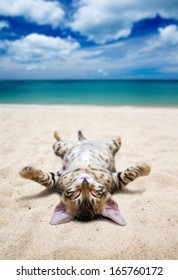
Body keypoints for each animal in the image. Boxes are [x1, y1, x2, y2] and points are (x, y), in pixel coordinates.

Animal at [19, 131, 150, 225]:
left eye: (94, 193)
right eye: (76, 194)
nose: (85, 182)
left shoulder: (114, 179)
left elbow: (129, 173)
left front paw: (147, 167)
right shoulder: (58, 178)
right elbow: (45, 178)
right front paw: (25, 172)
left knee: (113, 142)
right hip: (61, 147)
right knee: (64, 141)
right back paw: (57, 133)